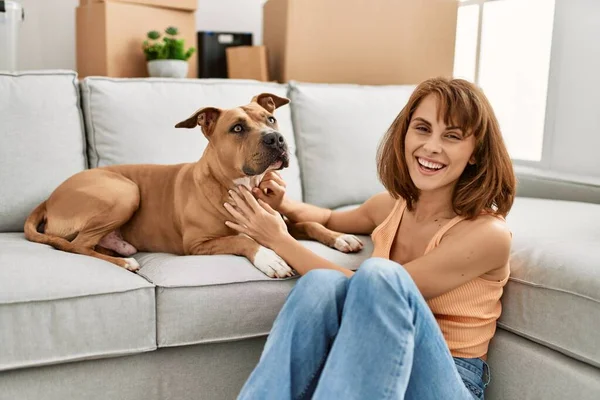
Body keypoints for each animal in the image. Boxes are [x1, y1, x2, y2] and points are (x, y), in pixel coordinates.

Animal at [22, 93, 360, 278]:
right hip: (125, 192)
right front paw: (270, 259)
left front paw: (341, 237)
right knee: (77, 245)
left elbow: (309, 223)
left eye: (271, 118)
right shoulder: (198, 245)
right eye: (237, 128)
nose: (275, 139)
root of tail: (49, 198)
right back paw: (125, 263)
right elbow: (243, 240)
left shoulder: (280, 222)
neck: (239, 185)